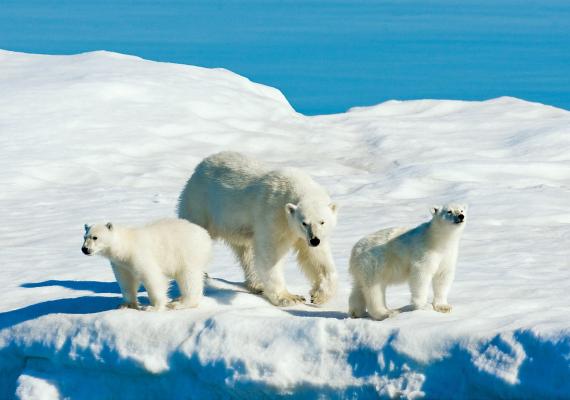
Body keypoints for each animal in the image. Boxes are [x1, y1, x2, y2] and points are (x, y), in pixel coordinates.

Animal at [81, 219, 211, 310]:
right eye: (84, 237)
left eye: (95, 237)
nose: (84, 249)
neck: (125, 247)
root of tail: (205, 235)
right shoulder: (120, 264)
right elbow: (126, 281)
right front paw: (126, 305)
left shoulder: (139, 255)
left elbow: (152, 277)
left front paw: (152, 307)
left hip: (186, 254)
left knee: (189, 278)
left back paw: (180, 304)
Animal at [178, 152, 338, 306]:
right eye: (304, 223)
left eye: (322, 222)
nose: (314, 240)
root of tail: (200, 166)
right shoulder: (274, 215)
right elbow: (271, 253)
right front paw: (289, 298)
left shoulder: (306, 235)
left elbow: (316, 257)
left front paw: (320, 295)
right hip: (200, 205)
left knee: (247, 251)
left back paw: (257, 285)